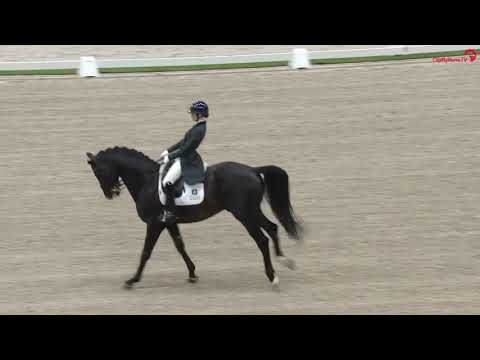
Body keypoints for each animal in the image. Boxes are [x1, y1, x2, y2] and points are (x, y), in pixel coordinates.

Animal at [86, 146, 302, 290]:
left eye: (99, 171)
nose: (110, 193)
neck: (146, 181)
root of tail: (253, 170)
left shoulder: (154, 224)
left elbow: (146, 252)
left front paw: (132, 280)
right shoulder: (169, 222)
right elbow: (180, 246)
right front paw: (192, 273)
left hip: (244, 214)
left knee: (262, 239)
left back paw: (273, 276)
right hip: (251, 212)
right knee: (272, 227)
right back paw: (284, 261)